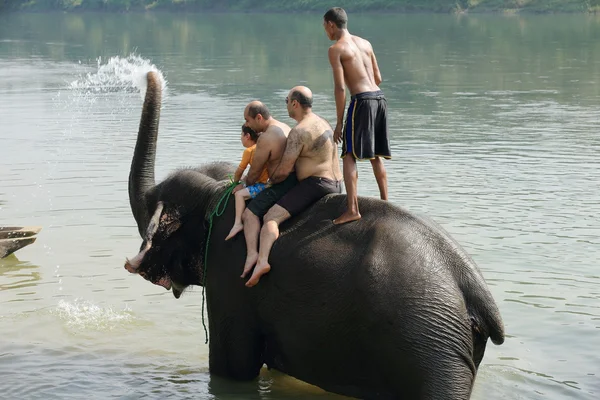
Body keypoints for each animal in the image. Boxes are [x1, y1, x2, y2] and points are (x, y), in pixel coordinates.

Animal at [125, 72, 506, 400]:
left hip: (429, 345)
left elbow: (232, 368)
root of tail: (473, 287)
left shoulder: (230, 279)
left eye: (152, 205)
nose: (148, 74)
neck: (214, 193)